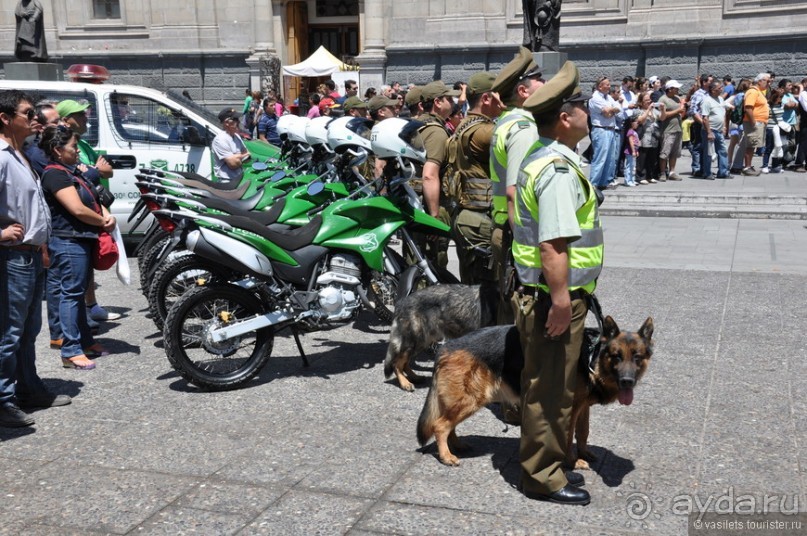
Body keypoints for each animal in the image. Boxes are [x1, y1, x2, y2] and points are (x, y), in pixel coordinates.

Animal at [416, 316, 656, 466]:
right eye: (616, 356)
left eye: (637, 357)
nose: (627, 382)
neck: (593, 355)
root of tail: (446, 347)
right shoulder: (571, 408)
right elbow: (568, 438)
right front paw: (572, 462)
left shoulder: (583, 406)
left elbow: (583, 432)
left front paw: (585, 453)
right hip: (472, 399)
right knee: (440, 425)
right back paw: (446, 456)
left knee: (449, 424)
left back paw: (456, 446)